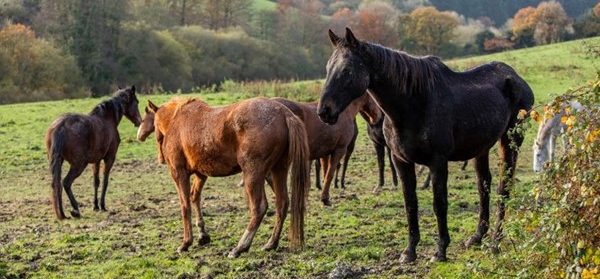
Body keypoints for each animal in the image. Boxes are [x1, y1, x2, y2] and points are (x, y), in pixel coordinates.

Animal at [45, 86, 142, 220]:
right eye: (137, 102)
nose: (139, 121)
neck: (107, 118)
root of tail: (60, 126)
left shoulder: (96, 161)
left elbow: (96, 182)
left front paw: (95, 206)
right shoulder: (109, 158)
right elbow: (105, 181)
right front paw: (102, 205)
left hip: (58, 161)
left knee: (56, 184)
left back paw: (62, 214)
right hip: (79, 165)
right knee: (66, 183)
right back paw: (75, 210)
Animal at [136, 98, 310, 258]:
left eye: (145, 120)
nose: (140, 136)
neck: (176, 120)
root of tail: (284, 113)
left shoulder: (179, 174)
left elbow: (185, 206)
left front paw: (186, 243)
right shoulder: (201, 174)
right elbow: (195, 197)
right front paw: (202, 235)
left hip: (253, 174)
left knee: (259, 208)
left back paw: (240, 247)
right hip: (277, 170)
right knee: (282, 203)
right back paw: (271, 243)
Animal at [318, 29, 536, 264]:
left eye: (347, 70)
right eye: (328, 68)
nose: (324, 111)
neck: (413, 104)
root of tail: (516, 78)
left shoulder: (437, 162)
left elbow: (439, 204)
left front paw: (440, 250)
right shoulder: (401, 161)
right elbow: (410, 203)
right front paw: (409, 251)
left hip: (510, 141)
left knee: (503, 187)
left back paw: (496, 241)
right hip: (481, 148)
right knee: (483, 185)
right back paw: (477, 237)